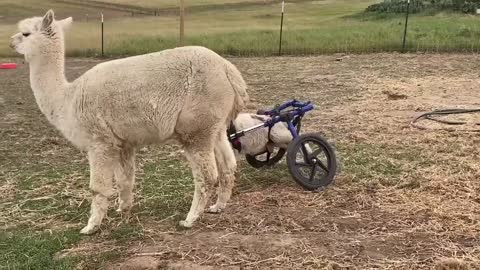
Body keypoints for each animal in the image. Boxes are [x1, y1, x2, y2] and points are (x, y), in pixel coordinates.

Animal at [9, 10, 249, 234]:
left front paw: (91, 226)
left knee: (207, 175)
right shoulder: (122, 142)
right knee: (228, 165)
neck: (68, 98)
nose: (11, 42)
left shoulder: (99, 141)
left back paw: (190, 219)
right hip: (216, 125)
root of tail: (229, 70)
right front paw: (123, 210)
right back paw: (218, 206)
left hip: (196, 126)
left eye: (25, 33)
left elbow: (97, 187)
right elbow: (125, 180)